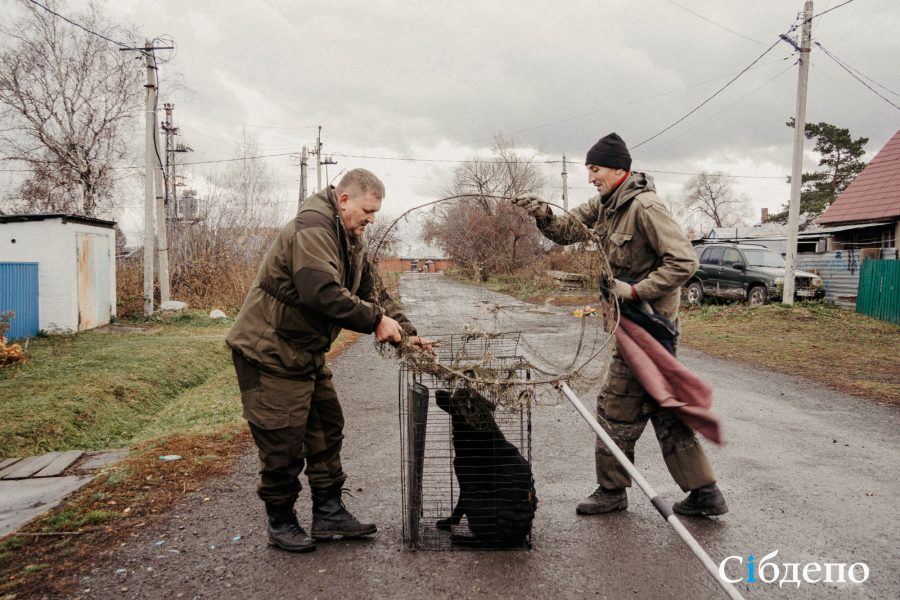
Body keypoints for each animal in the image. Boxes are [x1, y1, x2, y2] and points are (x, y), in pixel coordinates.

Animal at [434, 386, 536, 548]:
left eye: (454, 397)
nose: (437, 392)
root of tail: (515, 539)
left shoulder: (467, 485)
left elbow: (458, 508)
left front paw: (447, 523)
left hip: (473, 495)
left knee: (486, 541)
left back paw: (461, 539)